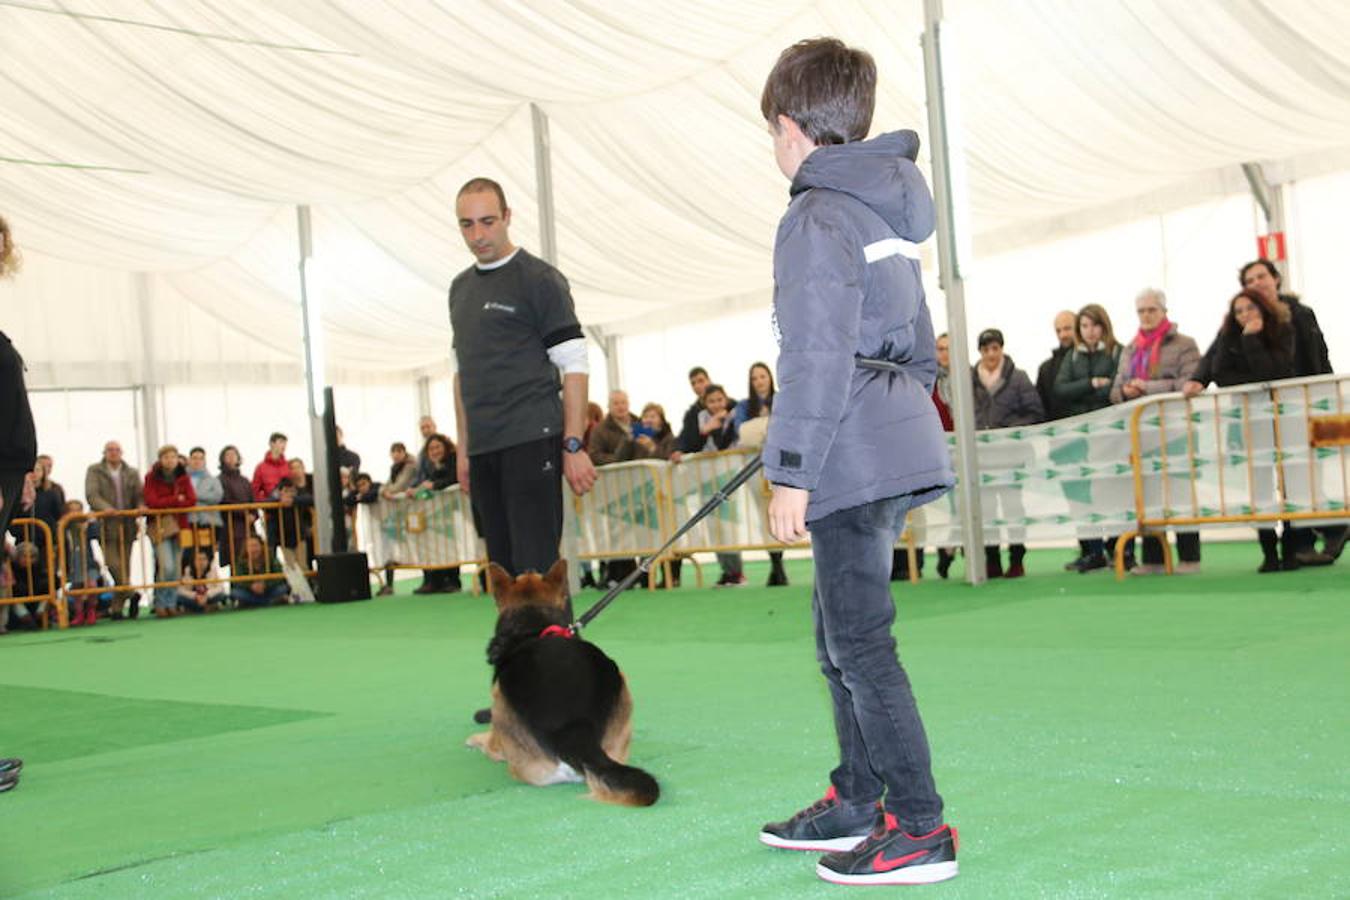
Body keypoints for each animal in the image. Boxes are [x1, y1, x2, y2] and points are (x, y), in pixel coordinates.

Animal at [467, 558, 661, 804]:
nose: (529, 567)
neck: (533, 627)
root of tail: (575, 730)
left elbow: (488, 739)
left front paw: (475, 738)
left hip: (501, 706)